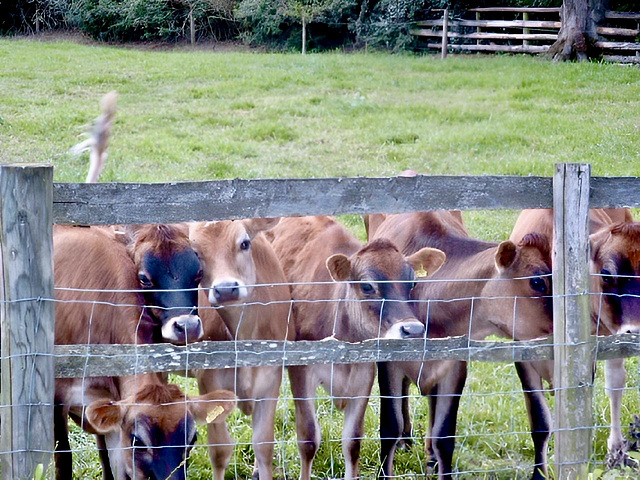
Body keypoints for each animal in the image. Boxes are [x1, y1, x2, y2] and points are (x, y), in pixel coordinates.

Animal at [188, 218, 292, 480]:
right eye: (195, 253)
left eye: (245, 243)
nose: (225, 289)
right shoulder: (209, 383)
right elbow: (220, 450)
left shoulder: (272, 378)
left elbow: (263, 444)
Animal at [264, 216, 444, 478]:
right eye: (367, 286)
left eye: (411, 283)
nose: (413, 330)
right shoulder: (301, 372)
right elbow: (308, 439)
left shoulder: (364, 374)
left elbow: (352, 441)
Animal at [370, 212, 556, 478]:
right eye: (538, 282)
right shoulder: (386, 358)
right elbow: (389, 427)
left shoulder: (455, 364)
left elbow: (445, 435)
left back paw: (431, 459)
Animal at [510, 207, 640, 462]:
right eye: (606, 274)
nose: (636, 331)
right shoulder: (521, 352)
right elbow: (540, 422)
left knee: (615, 382)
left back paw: (616, 448)